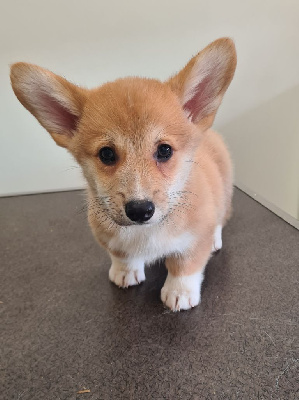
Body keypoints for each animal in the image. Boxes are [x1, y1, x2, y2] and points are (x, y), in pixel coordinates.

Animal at [10, 37, 238, 312]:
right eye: (107, 154)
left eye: (164, 150)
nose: (140, 210)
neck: (145, 231)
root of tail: (211, 134)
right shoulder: (109, 238)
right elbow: (123, 256)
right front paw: (125, 273)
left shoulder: (194, 239)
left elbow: (185, 266)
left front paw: (179, 292)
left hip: (224, 193)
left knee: (221, 218)